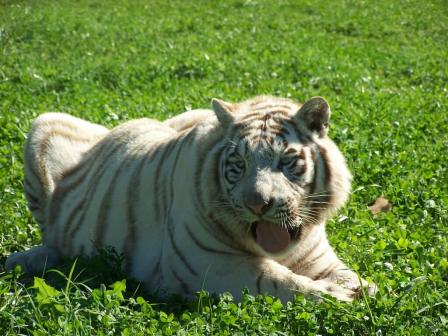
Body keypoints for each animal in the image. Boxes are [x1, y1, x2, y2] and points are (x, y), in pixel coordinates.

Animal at [7, 95, 376, 302]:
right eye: (238, 165)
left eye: (286, 161)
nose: (258, 204)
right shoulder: (213, 265)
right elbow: (279, 281)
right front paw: (341, 296)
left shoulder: (318, 259)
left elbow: (347, 274)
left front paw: (365, 288)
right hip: (42, 125)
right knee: (52, 238)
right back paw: (29, 260)